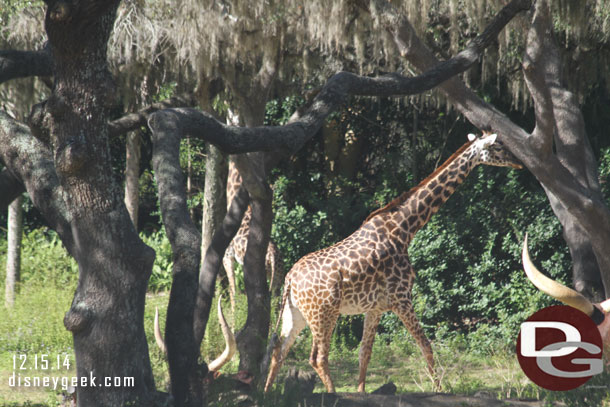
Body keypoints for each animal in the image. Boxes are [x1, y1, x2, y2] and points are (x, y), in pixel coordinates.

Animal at [222, 159, 284, 312]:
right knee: (278, 304)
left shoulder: (227, 256)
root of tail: (273, 256)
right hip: (277, 278)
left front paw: (232, 317)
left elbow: (232, 291)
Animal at [264, 132, 520, 394]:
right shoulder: (402, 299)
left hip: (295, 314)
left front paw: (361, 392)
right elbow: (426, 346)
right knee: (317, 357)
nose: (518, 163)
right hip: (324, 313)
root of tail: (290, 279)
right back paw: (331, 394)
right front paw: (439, 389)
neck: (404, 229)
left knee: (278, 351)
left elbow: (364, 353)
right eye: (498, 147)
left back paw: (265, 393)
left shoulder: (375, 307)